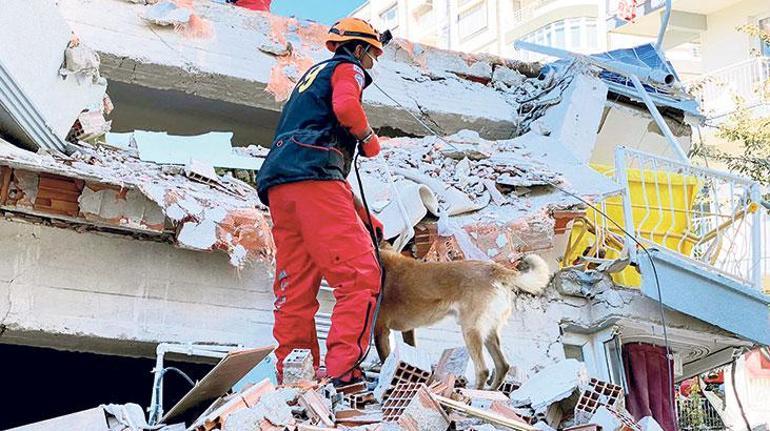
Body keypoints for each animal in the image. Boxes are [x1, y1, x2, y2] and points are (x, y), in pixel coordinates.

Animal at [376, 246, 548, 392]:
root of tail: (493, 269)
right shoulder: (406, 330)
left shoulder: (380, 331)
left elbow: (385, 362)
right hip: (488, 332)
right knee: (502, 365)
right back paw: (490, 393)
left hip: (470, 330)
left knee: (483, 370)